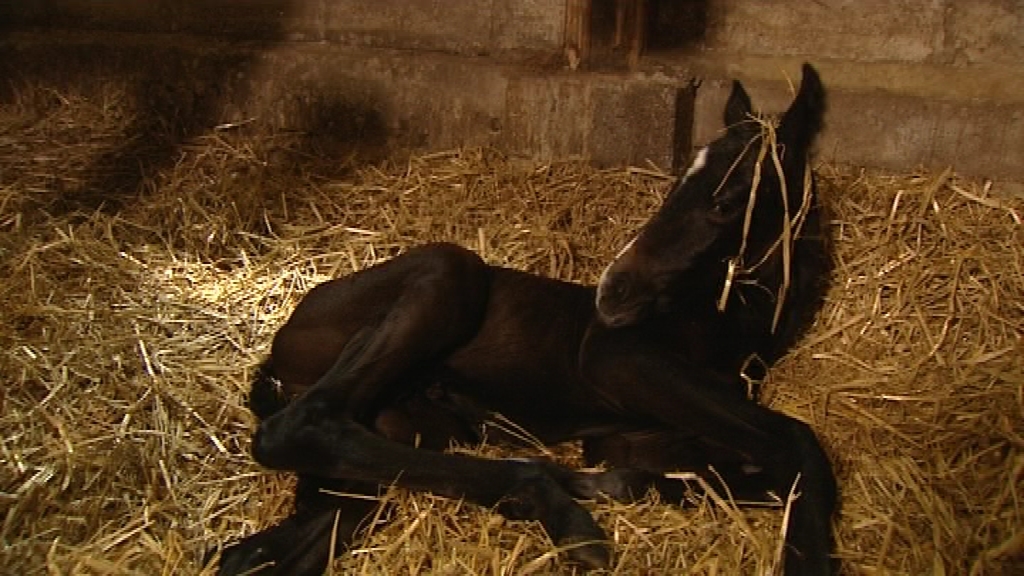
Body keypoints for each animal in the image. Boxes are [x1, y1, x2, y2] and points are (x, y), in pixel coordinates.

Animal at [220, 63, 835, 573]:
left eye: (727, 202)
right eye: (678, 181)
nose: (612, 294)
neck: (723, 326)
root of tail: (273, 353)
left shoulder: (639, 439)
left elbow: (730, 473)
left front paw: (615, 483)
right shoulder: (618, 358)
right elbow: (796, 441)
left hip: (386, 444)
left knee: (270, 539)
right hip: (448, 270)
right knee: (295, 426)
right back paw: (560, 510)